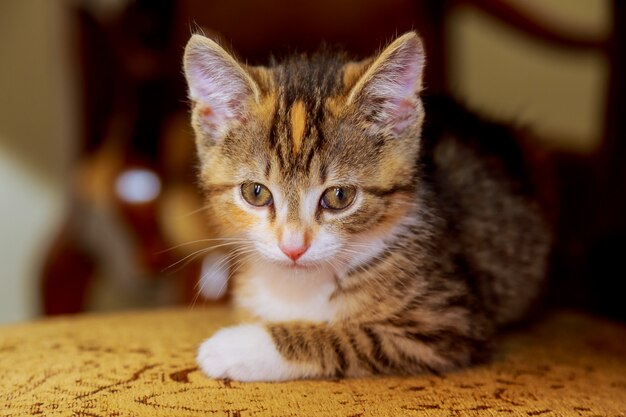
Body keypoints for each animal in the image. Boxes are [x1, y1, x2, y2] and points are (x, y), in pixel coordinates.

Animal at [183, 31, 548, 380]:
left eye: (339, 197)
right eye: (256, 193)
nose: (293, 247)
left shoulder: (449, 324)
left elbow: (351, 338)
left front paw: (240, 347)